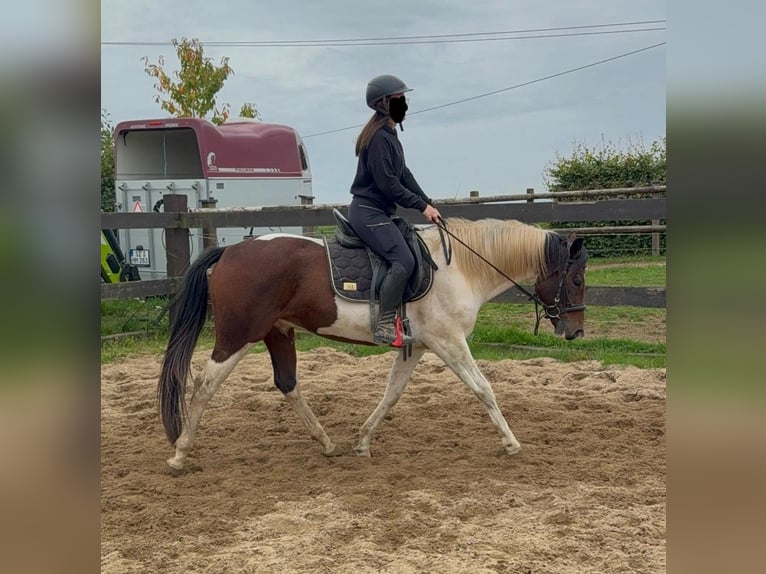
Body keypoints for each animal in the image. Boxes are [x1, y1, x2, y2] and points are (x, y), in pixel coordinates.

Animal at [158, 217, 587, 470]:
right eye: (577, 279)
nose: (575, 332)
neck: (460, 267)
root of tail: (229, 251)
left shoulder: (418, 346)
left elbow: (392, 394)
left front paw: (363, 442)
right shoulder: (448, 342)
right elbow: (483, 389)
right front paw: (512, 443)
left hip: (277, 331)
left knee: (287, 383)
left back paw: (325, 441)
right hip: (238, 335)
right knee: (204, 385)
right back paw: (180, 453)